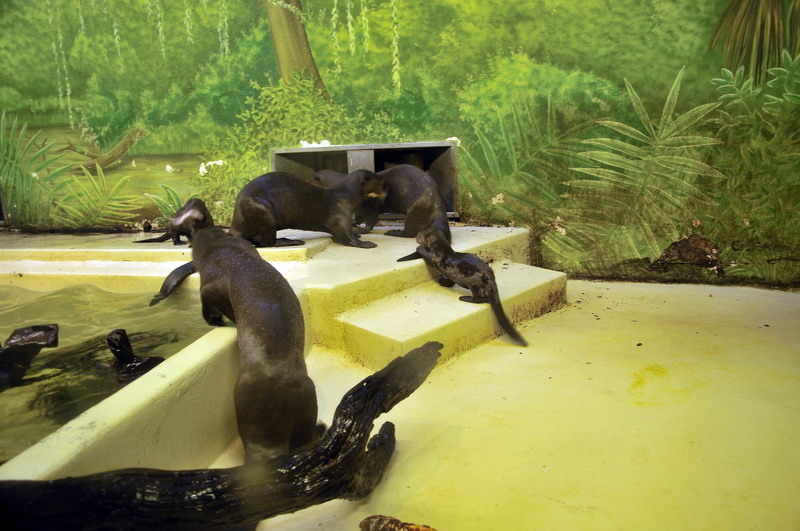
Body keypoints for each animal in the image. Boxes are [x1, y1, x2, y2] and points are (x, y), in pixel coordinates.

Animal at [229, 170, 386, 248]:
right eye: (379, 182)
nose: (386, 187)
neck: (346, 196)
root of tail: (234, 226)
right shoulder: (341, 215)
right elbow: (347, 236)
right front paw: (365, 243)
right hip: (262, 211)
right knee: (266, 243)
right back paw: (290, 241)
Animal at [315, 164, 451, 243]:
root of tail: (437, 202)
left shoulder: (369, 205)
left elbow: (370, 220)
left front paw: (361, 230)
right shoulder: (358, 208)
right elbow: (358, 216)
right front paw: (354, 222)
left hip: (416, 207)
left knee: (410, 232)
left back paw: (394, 232)